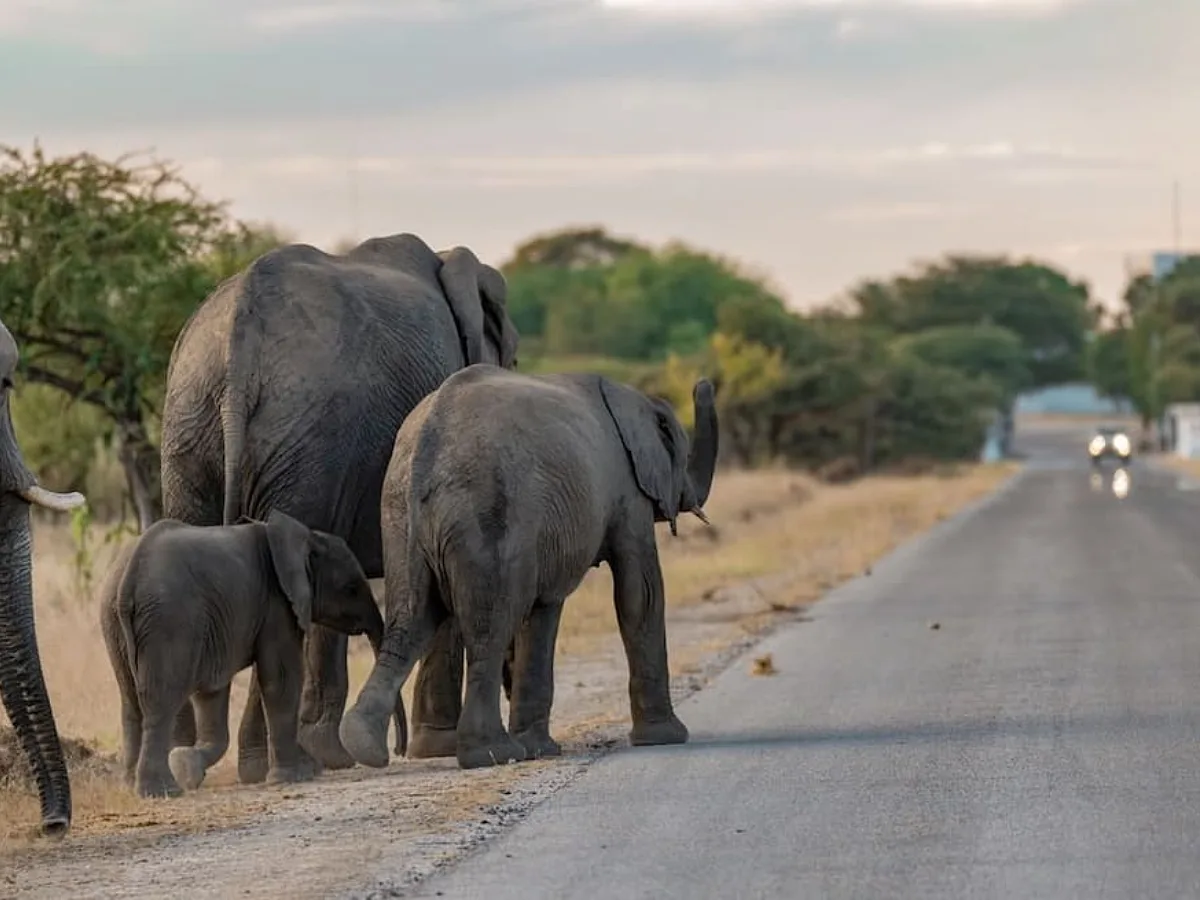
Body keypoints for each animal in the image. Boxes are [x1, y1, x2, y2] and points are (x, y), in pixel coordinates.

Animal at [98, 510, 385, 798]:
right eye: (351, 588)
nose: (386, 757)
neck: (305, 536)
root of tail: (129, 577)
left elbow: (212, 691)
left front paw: (186, 763)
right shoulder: (277, 604)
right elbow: (281, 680)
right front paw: (292, 778)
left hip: (114, 623)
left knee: (130, 702)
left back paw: (131, 785)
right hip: (169, 620)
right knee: (160, 701)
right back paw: (161, 791)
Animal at [159, 233, 519, 783]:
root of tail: (237, 350)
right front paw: (435, 747)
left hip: (191, 425)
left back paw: (189, 767)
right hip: (306, 437)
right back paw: (285, 764)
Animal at [339, 365, 719, 770]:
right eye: (680, 452)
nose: (703, 383)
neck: (635, 399)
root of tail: (426, 446)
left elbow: (543, 611)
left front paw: (540, 749)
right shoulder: (628, 493)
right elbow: (639, 593)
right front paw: (666, 738)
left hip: (400, 521)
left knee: (411, 622)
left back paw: (363, 745)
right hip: (488, 517)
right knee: (489, 630)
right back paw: (492, 754)